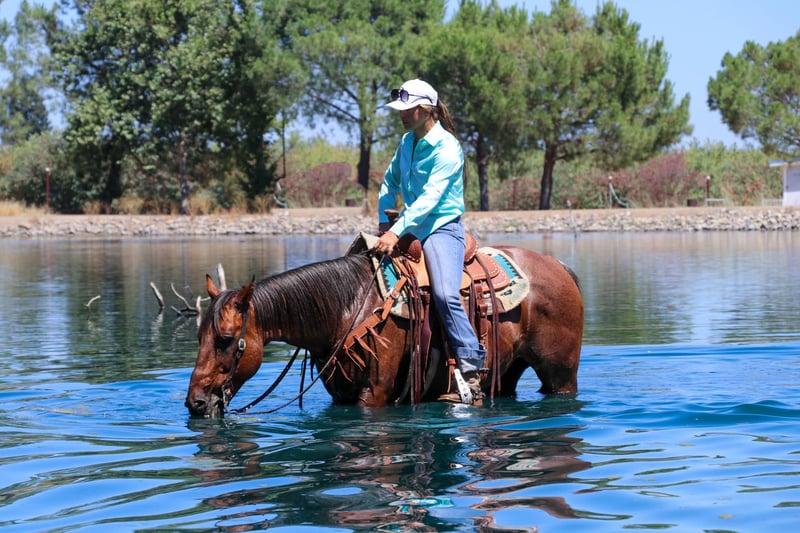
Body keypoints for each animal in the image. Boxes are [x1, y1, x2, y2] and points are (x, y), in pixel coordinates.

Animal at [185, 243, 584, 418]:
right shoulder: (341, 394)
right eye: (198, 338)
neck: (346, 307)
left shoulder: (374, 393)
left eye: (225, 340)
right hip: (508, 372)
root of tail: (559, 265)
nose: (195, 403)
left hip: (560, 376)